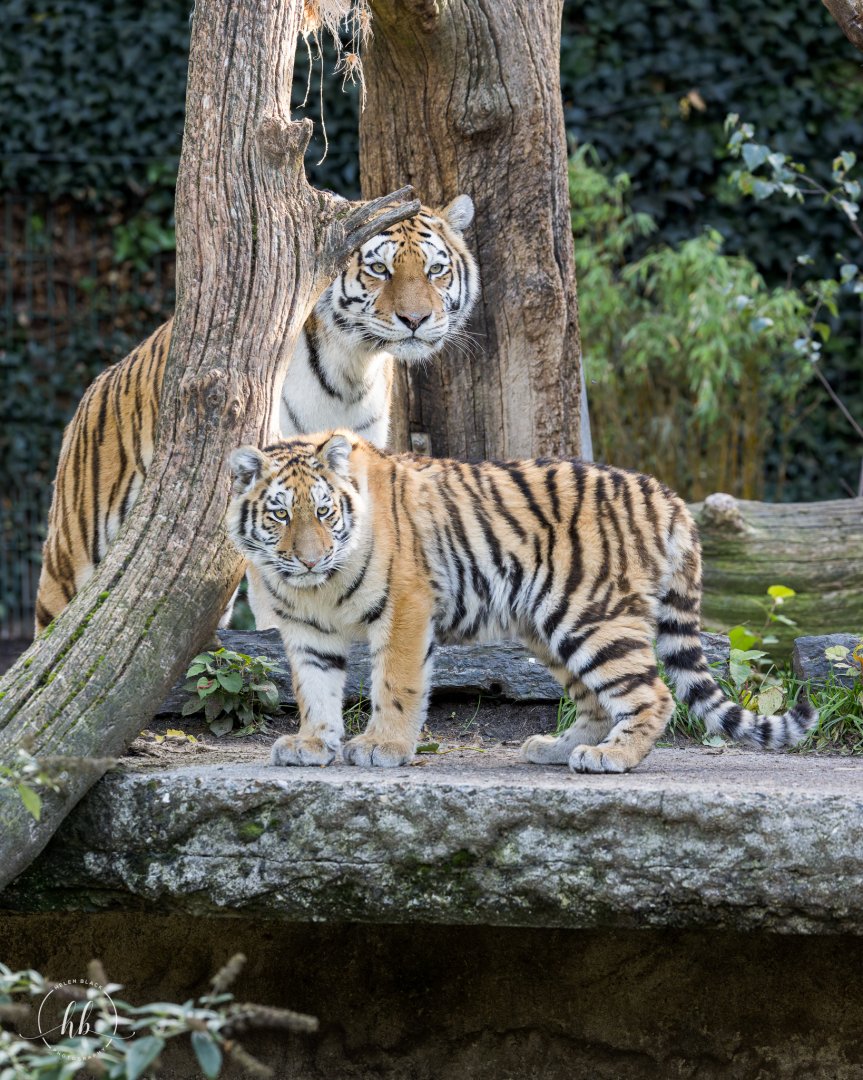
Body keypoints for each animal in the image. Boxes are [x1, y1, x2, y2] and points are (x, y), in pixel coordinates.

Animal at [227, 430, 818, 774]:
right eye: (281, 514)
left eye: (325, 512)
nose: (309, 560)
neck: (317, 588)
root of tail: (665, 495)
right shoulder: (307, 630)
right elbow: (314, 690)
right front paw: (312, 744)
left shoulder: (404, 608)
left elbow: (394, 684)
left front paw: (383, 747)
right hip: (549, 626)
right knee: (597, 701)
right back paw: (556, 748)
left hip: (591, 615)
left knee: (653, 694)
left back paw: (612, 758)